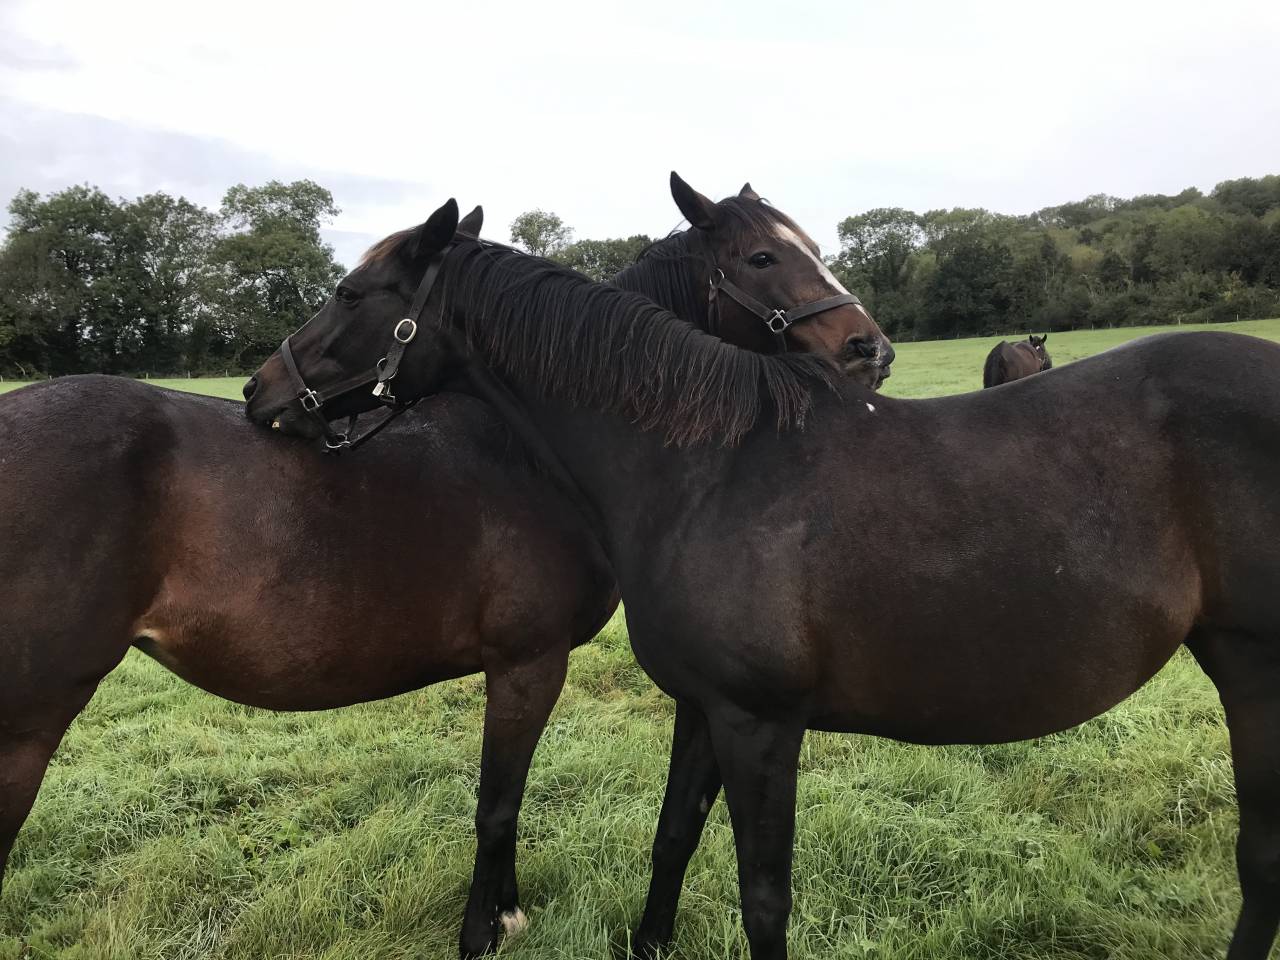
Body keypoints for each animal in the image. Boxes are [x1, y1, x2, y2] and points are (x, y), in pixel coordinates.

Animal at [0, 182, 888, 959]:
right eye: (765, 258)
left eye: (351, 294)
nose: (870, 350)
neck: (534, 454)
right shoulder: (527, 664)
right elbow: (497, 806)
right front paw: (479, 934)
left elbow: (510, 802)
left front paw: (505, 914)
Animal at [247, 197, 1280, 960]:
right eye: (762, 258)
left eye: (349, 291)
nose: (261, 391)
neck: (710, 468)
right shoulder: (704, 707)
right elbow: (671, 841)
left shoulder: (761, 724)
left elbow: (763, 898)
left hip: (1255, 673)